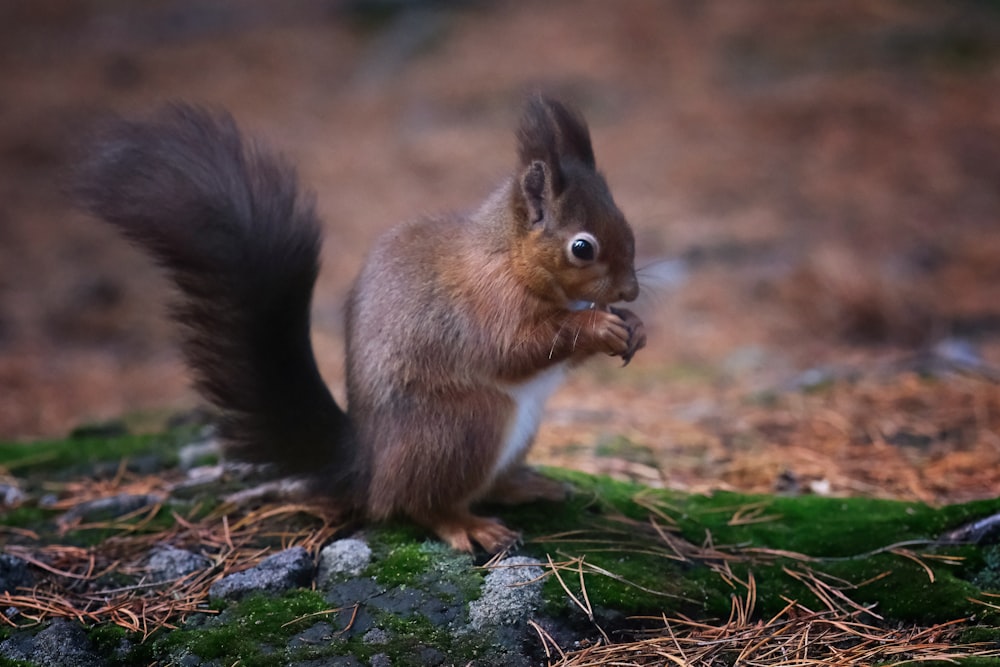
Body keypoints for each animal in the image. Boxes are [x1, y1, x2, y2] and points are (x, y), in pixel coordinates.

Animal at [74, 94, 644, 552]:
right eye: (582, 248)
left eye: (627, 225)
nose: (630, 292)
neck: (507, 254)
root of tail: (366, 468)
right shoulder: (487, 307)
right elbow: (516, 348)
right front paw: (601, 327)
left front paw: (633, 325)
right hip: (464, 427)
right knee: (420, 503)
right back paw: (468, 525)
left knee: (480, 485)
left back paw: (525, 485)